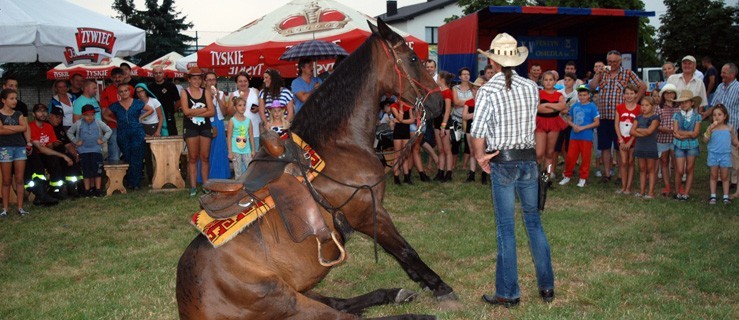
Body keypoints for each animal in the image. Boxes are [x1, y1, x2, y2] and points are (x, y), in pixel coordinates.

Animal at [176, 20, 450, 320]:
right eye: (412, 59)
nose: (438, 104)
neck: (339, 144)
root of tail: (186, 303)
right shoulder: (369, 212)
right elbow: (405, 250)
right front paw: (440, 286)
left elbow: (401, 253)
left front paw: (422, 282)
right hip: (285, 299)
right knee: (341, 315)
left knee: (340, 305)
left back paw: (393, 294)